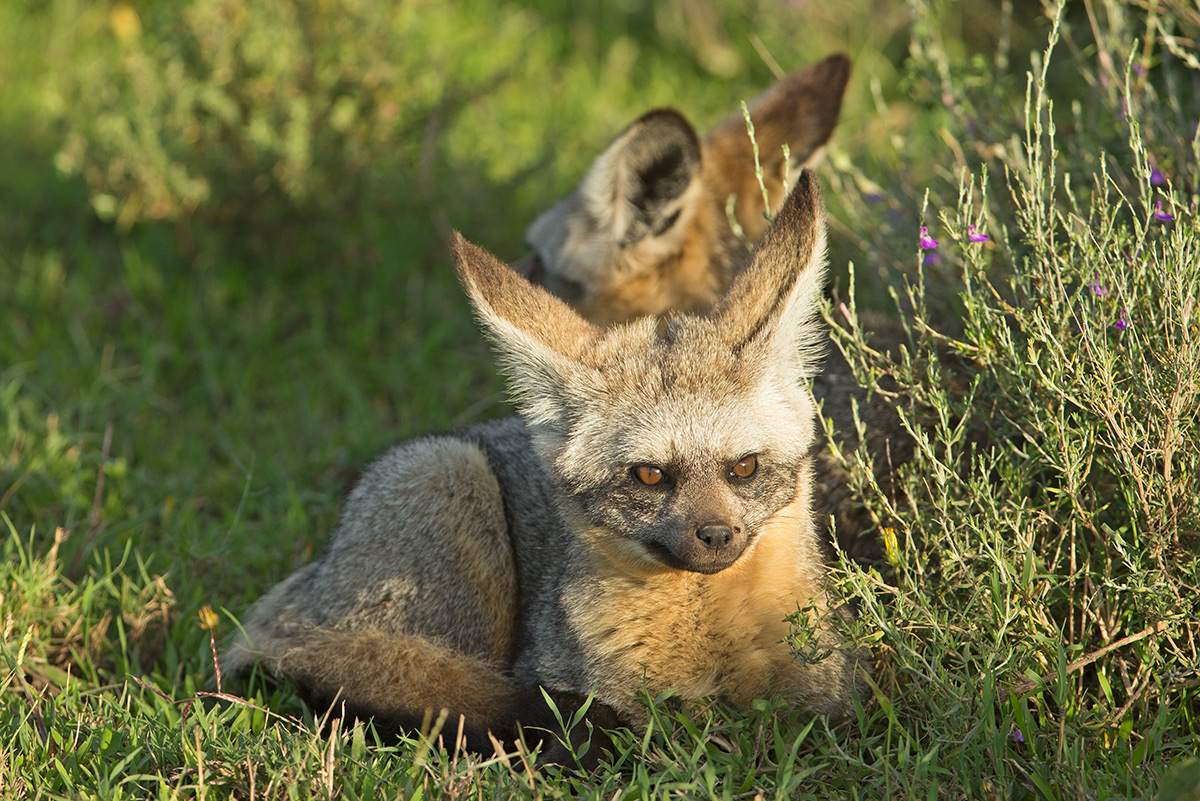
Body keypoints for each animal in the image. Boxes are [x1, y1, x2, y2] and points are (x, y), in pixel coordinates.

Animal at [225, 174, 868, 764]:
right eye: (650, 475)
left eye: (745, 467)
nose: (715, 535)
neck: (709, 640)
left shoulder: (825, 707)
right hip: (450, 476)